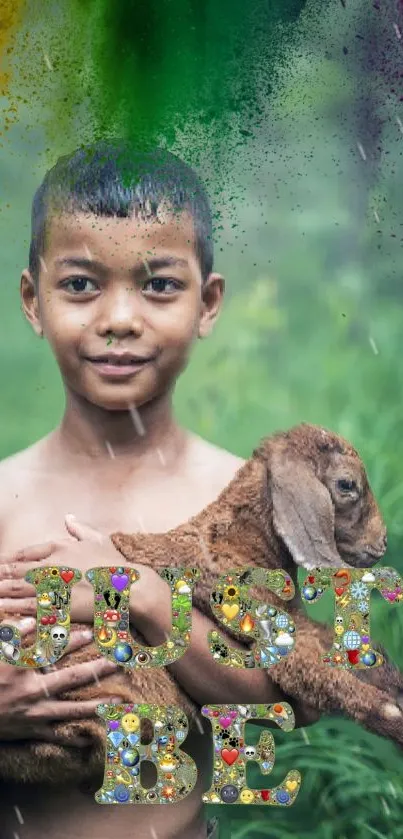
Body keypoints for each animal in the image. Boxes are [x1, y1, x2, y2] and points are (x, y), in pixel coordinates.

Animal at [0, 426, 403, 788]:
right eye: (347, 485)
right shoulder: (270, 633)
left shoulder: (294, 621)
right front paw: (394, 719)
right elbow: (318, 674)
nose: (382, 543)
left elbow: (363, 654)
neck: (239, 543)